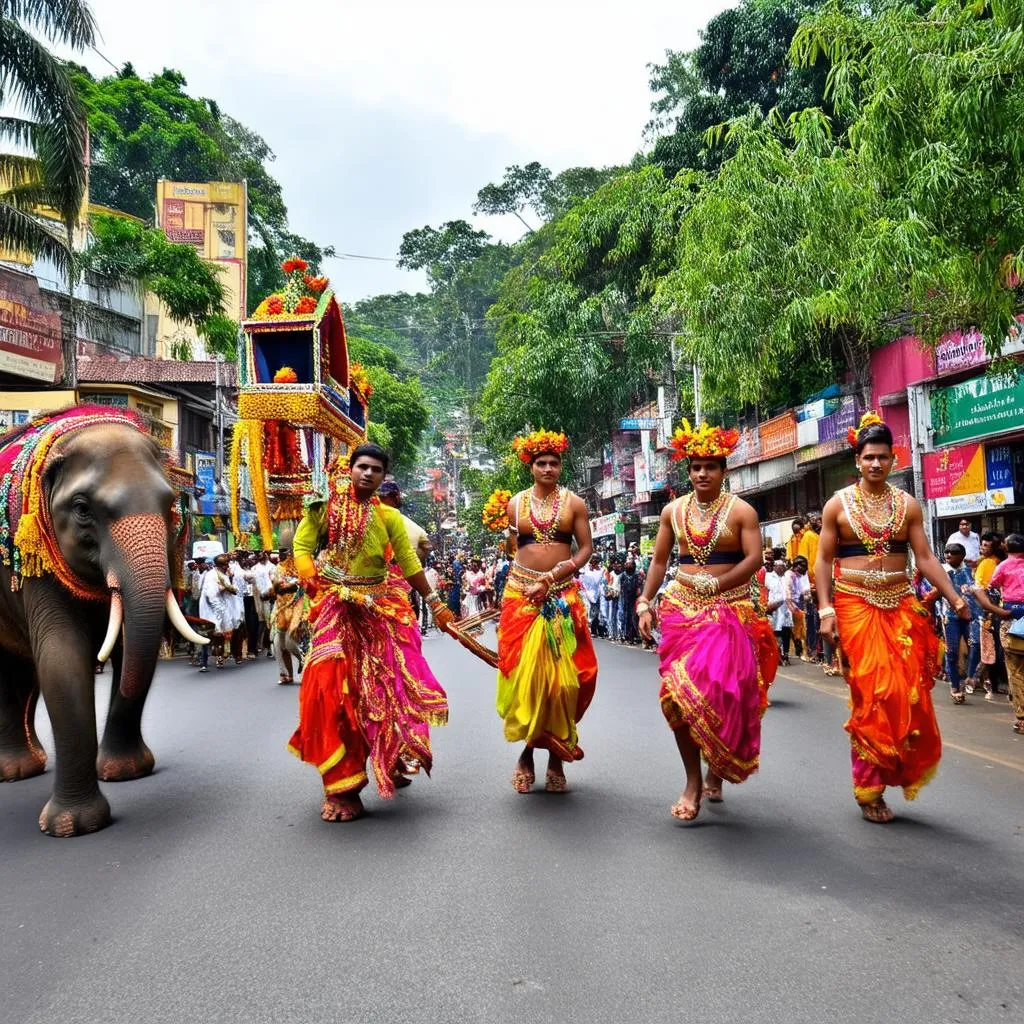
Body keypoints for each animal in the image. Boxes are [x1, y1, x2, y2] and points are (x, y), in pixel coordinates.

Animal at [0, 403, 207, 835]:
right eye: (82, 509)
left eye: (169, 505)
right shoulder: (36, 560)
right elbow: (62, 658)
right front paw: (72, 827)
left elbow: (130, 648)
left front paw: (125, 772)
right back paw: (15, 772)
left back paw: (29, 765)